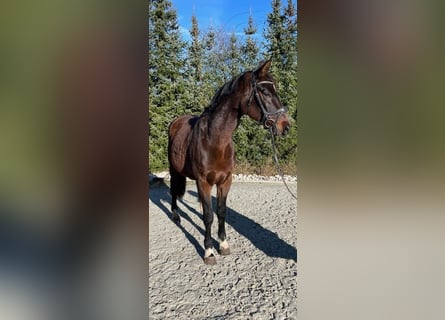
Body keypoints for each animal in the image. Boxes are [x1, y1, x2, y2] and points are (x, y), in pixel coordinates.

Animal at [168, 60, 290, 264]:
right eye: (264, 91)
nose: (285, 126)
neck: (215, 140)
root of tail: (176, 122)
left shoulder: (225, 181)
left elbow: (221, 212)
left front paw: (223, 244)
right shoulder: (203, 182)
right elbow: (208, 216)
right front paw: (209, 251)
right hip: (173, 170)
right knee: (173, 192)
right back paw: (176, 216)